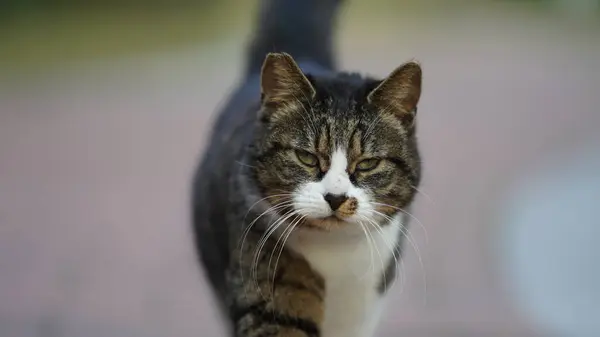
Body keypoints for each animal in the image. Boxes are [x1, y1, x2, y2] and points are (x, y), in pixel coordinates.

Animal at [192, 0, 422, 336]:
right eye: (306, 158)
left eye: (367, 163)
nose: (336, 199)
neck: (336, 254)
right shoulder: (265, 276)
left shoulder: (363, 310)